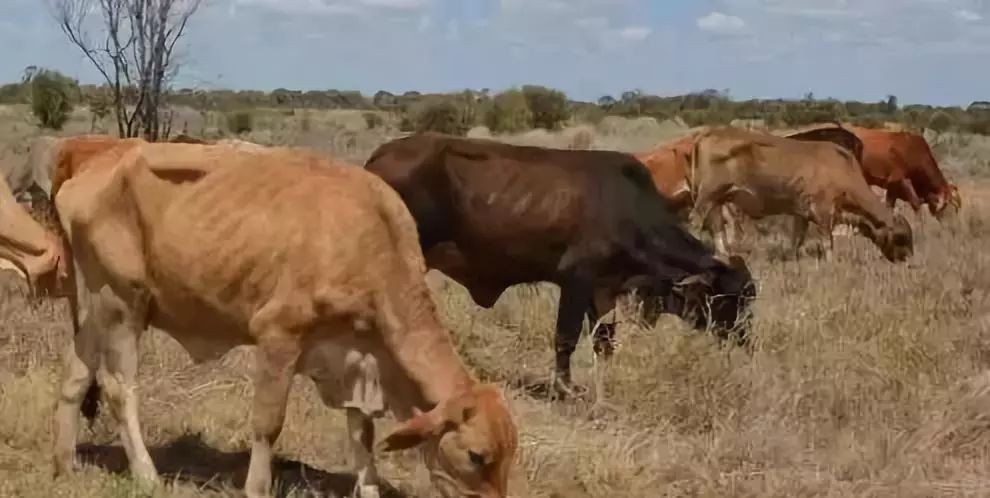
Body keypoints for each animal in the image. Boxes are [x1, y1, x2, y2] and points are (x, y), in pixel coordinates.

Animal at [48, 142, 520, 498]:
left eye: (510, 457)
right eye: (477, 456)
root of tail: (97, 158)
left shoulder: (357, 360)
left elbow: (361, 434)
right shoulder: (279, 335)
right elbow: (268, 425)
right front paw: (257, 487)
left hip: (97, 306)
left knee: (75, 374)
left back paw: (65, 463)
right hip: (121, 302)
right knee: (118, 388)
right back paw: (146, 474)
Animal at [364, 132, 760, 396]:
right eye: (728, 300)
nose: (747, 341)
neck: (630, 212)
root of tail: (379, 157)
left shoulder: (605, 288)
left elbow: (604, 340)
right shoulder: (576, 281)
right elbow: (565, 338)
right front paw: (566, 388)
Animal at [688, 126, 916, 262]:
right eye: (902, 237)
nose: (908, 261)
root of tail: (706, 135)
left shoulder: (802, 214)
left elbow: (797, 239)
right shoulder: (824, 212)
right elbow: (827, 242)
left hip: (717, 201)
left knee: (717, 228)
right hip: (706, 197)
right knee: (695, 222)